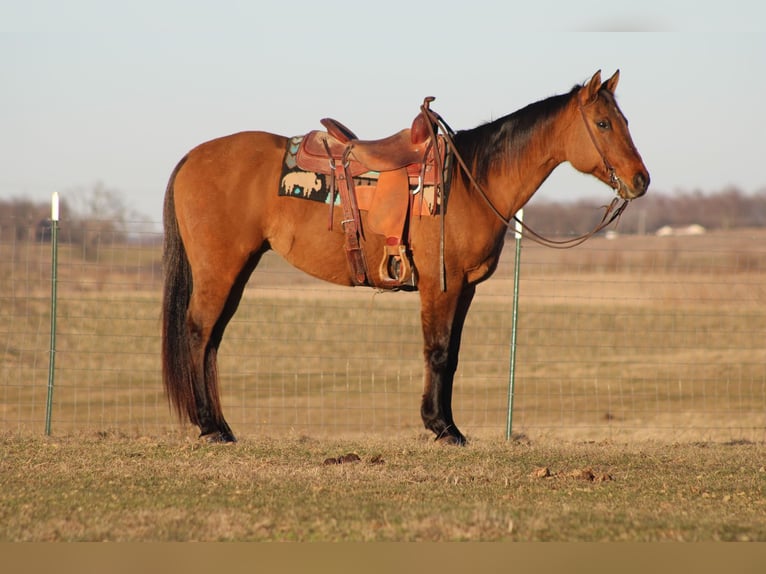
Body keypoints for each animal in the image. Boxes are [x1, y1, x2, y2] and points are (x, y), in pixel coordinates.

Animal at [160, 68, 648, 446]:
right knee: (199, 333)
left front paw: (446, 423)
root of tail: (192, 158)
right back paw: (211, 427)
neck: (471, 182)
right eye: (603, 123)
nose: (640, 180)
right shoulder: (439, 285)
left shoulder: (464, 289)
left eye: (624, 120)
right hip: (220, 269)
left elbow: (452, 355)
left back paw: (221, 425)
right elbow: (438, 352)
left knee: (212, 340)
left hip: (236, 270)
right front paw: (442, 428)